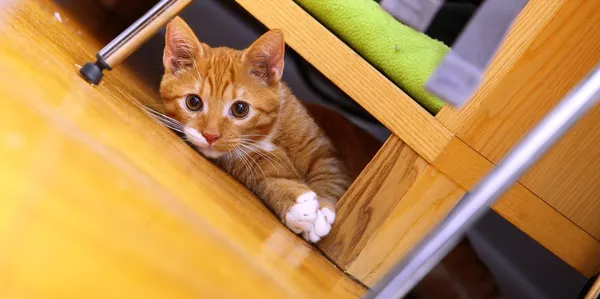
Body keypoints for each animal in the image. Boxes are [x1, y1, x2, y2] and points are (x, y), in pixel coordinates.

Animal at [159, 17, 350, 244]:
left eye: (240, 109)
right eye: (193, 102)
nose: (210, 136)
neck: (270, 134)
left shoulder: (325, 154)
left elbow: (329, 177)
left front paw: (322, 212)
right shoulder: (247, 161)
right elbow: (267, 177)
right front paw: (294, 203)